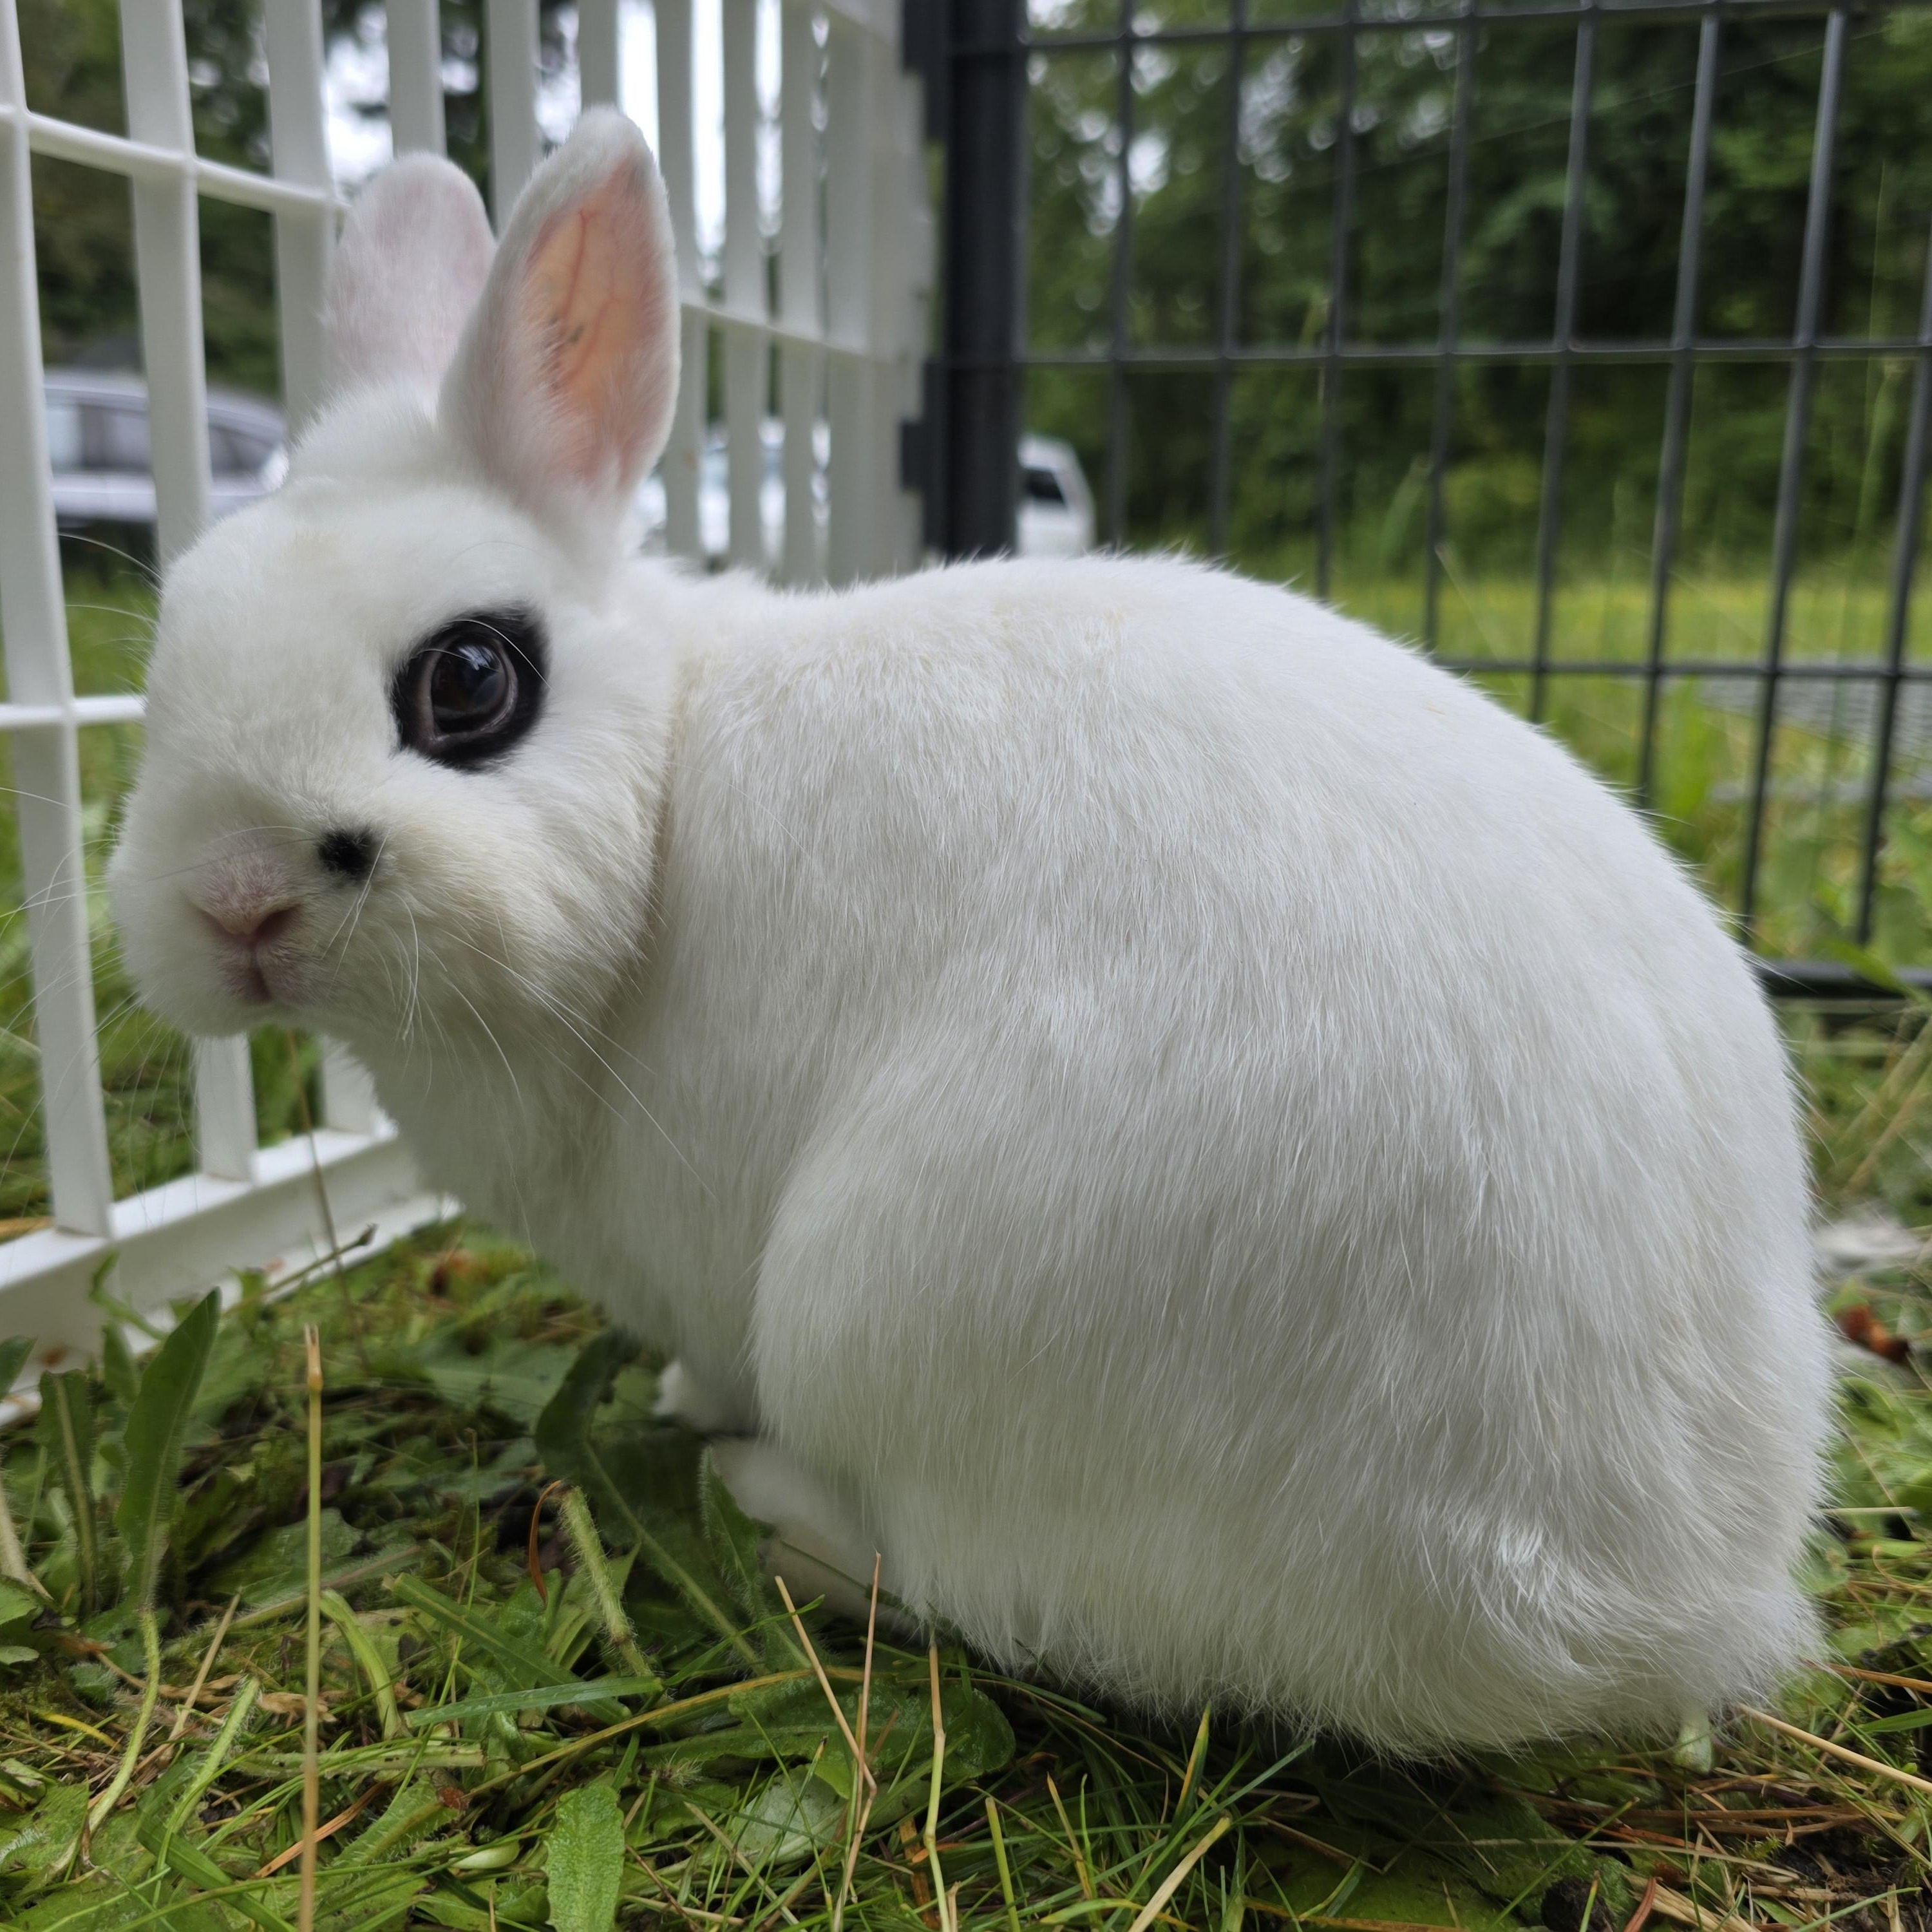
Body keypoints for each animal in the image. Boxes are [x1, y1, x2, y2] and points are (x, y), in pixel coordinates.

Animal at [110, 107, 1833, 1757]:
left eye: (468, 681)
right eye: (172, 648)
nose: (235, 903)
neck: (663, 776)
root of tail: (1630, 1595)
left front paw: (684, 1401)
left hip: (883, 1307)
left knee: (958, 1573)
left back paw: (758, 1497)